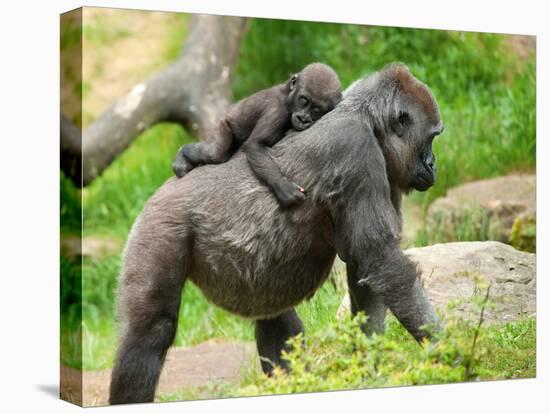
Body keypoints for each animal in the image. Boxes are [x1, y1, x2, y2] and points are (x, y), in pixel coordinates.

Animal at [175, 62, 342, 207]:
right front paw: (282, 185)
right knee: (214, 153)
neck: (288, 95)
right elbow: (255, 144)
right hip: (223, 123)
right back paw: (183, 153)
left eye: (316, 110)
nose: (303, 118)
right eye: (304, 100)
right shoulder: (278, 110)